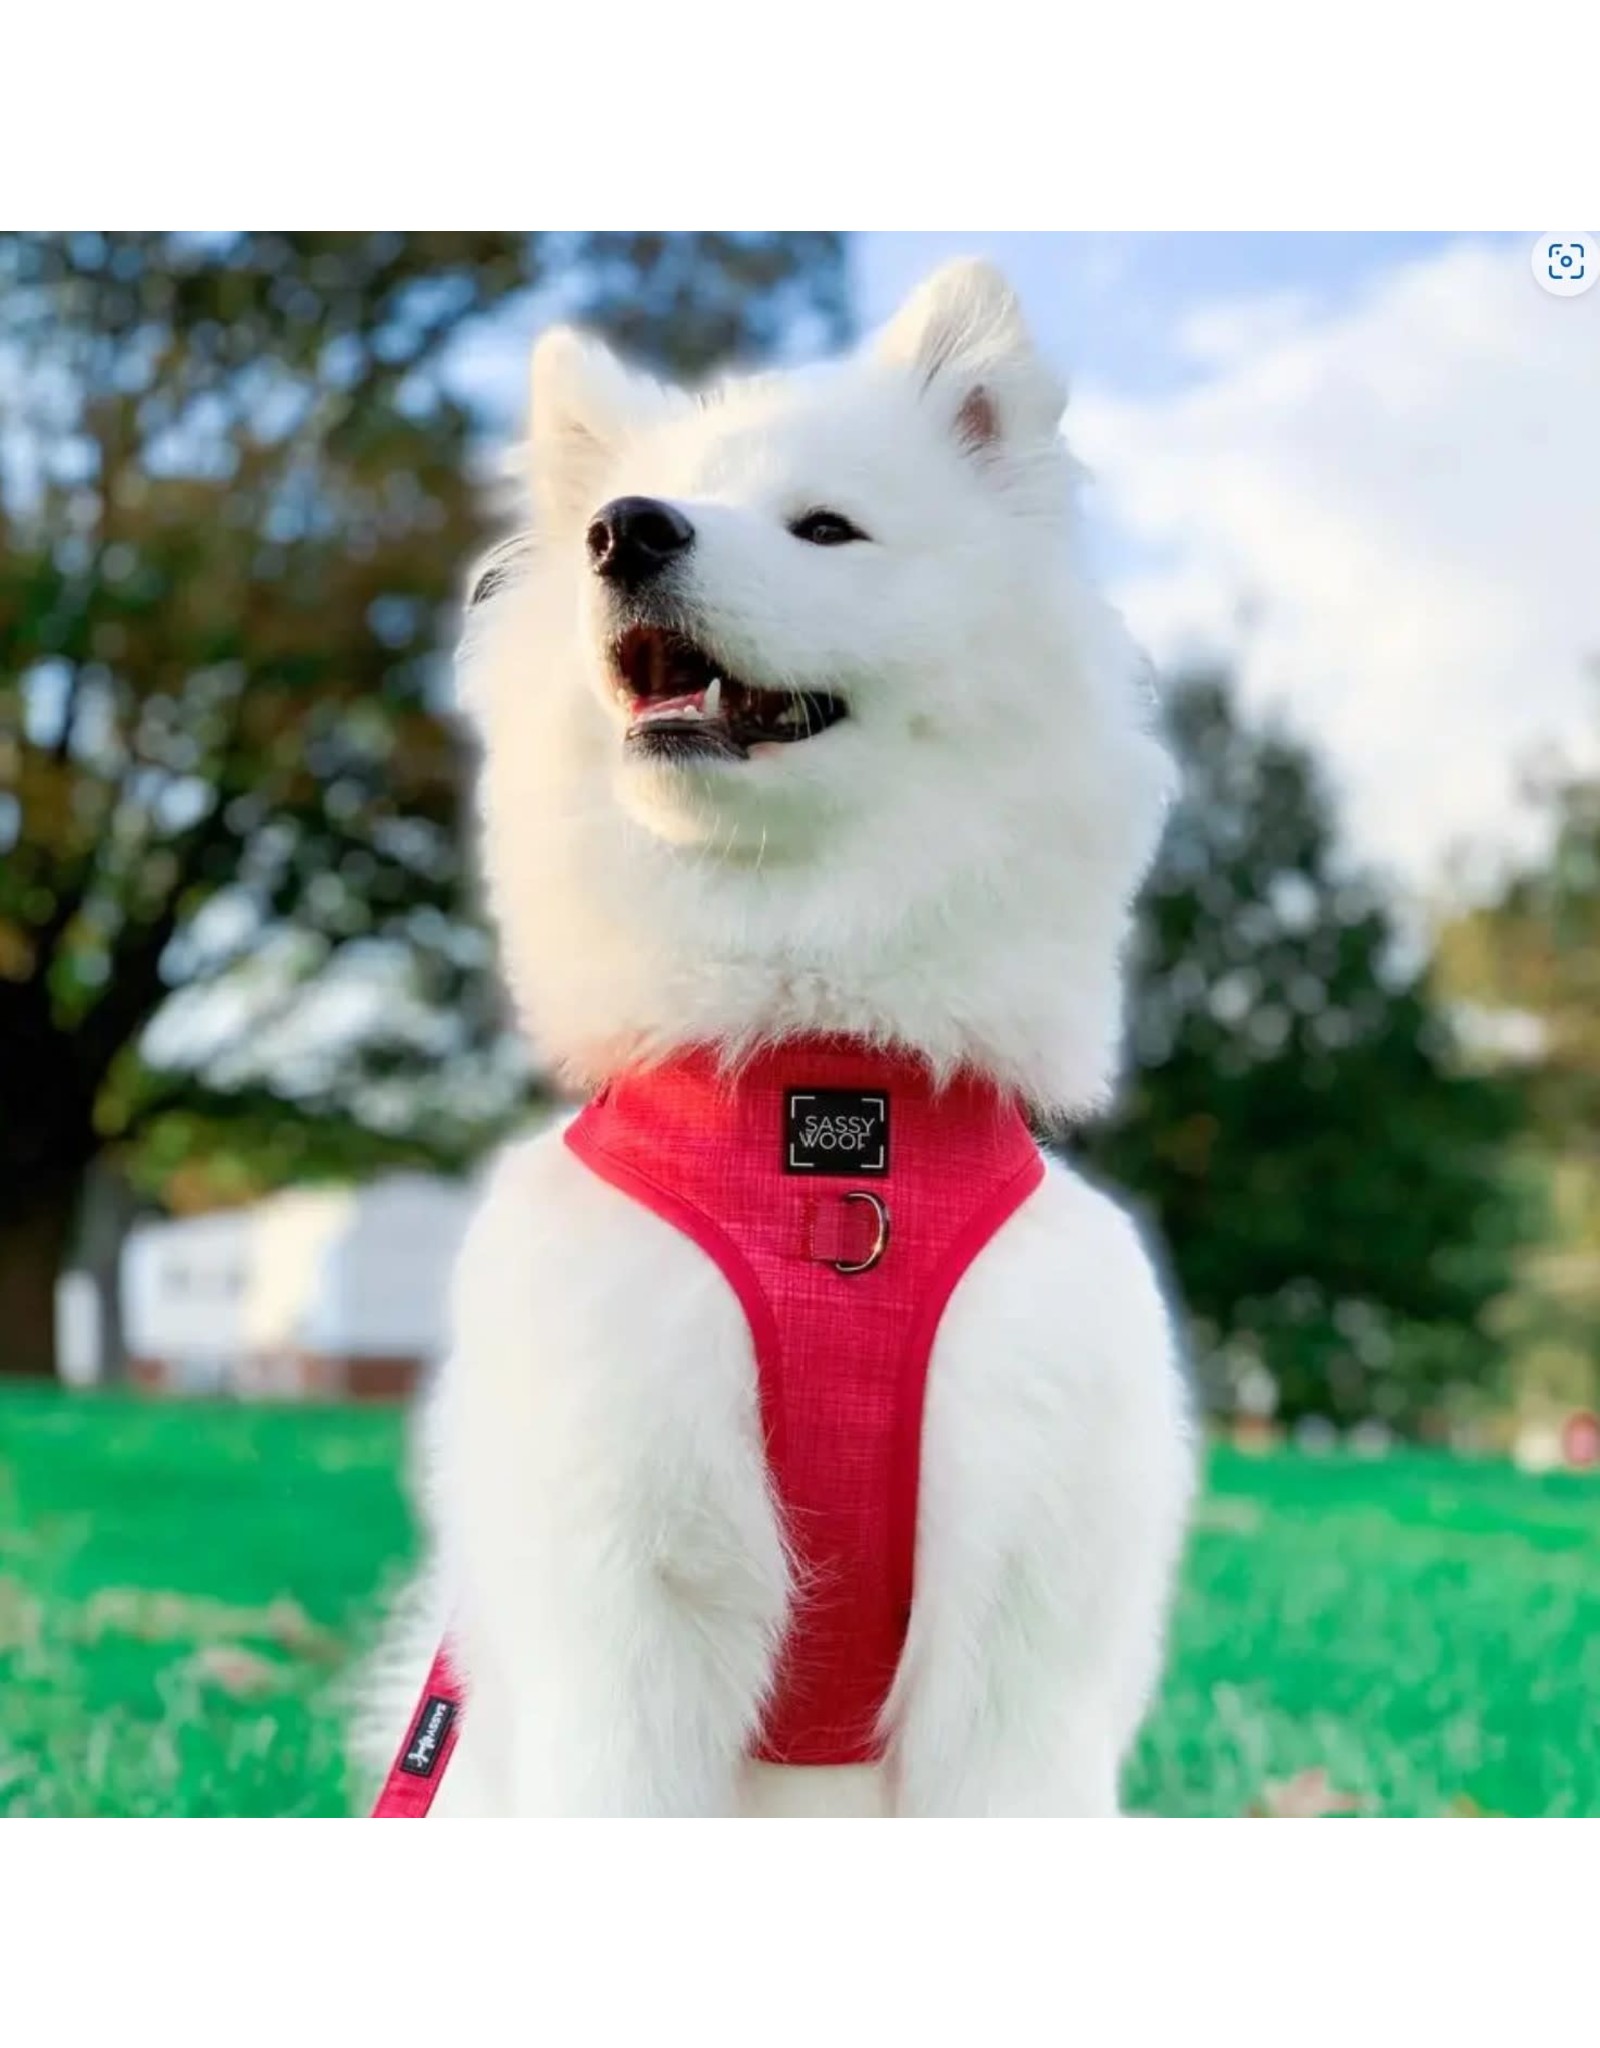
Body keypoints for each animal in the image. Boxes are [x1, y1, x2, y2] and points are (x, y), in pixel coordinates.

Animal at [356, 264, 1188, 1818]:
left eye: (826, 527)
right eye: (624, 518)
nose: (627, 530)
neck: (819, 1090)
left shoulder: (1017, 1639)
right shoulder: (622, 1603)